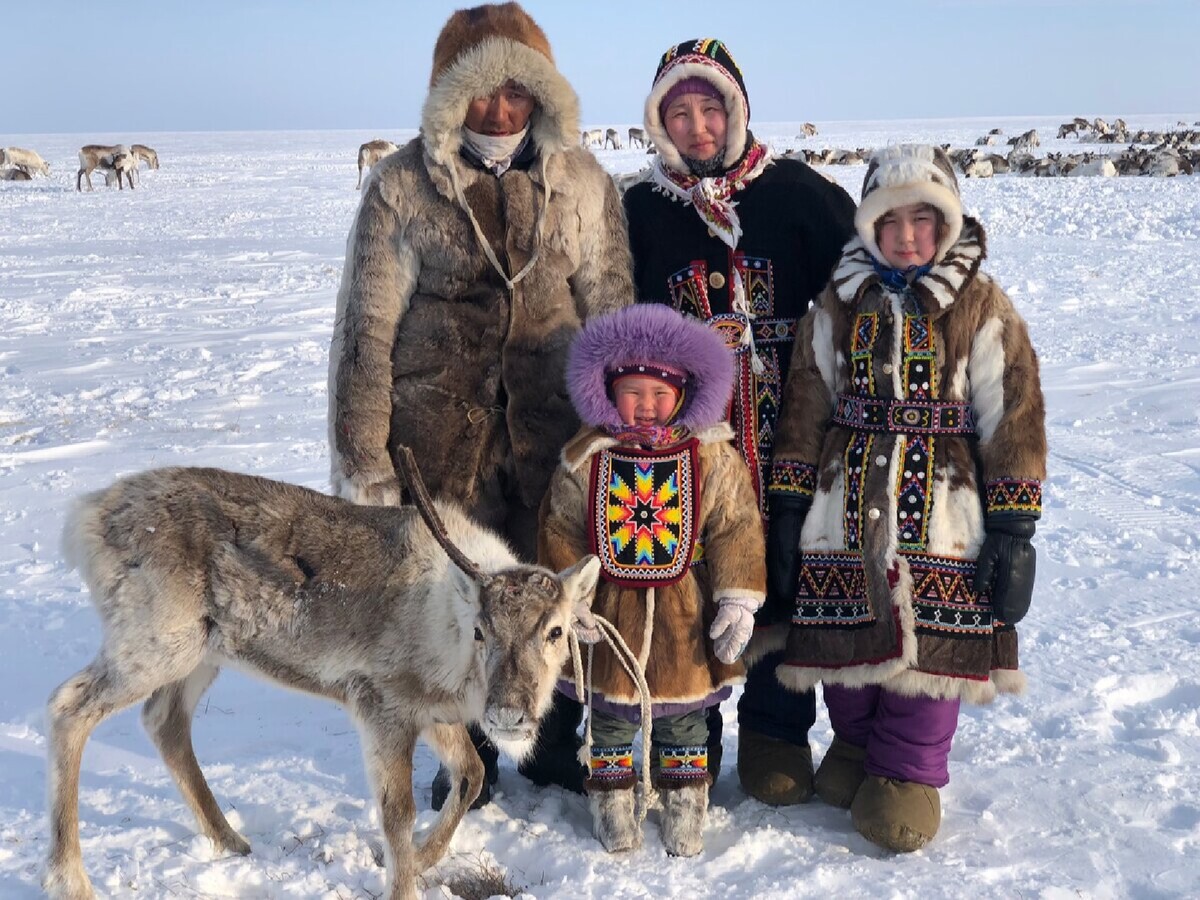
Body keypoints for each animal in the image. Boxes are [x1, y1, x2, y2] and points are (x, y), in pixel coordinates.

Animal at [45, 468, 600, 900]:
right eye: (482, 630)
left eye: (555, 631)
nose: (508, 713)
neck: (449, 628)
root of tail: (85, 518)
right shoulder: (382, 706)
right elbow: (398, 813)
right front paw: (405, 879)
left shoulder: (429, 711)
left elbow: (470, 774)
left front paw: (423, 858)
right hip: (155, 642)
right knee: (67, 707)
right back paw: (70, 877)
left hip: (200, 654)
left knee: (164, 721)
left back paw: (230, 839)